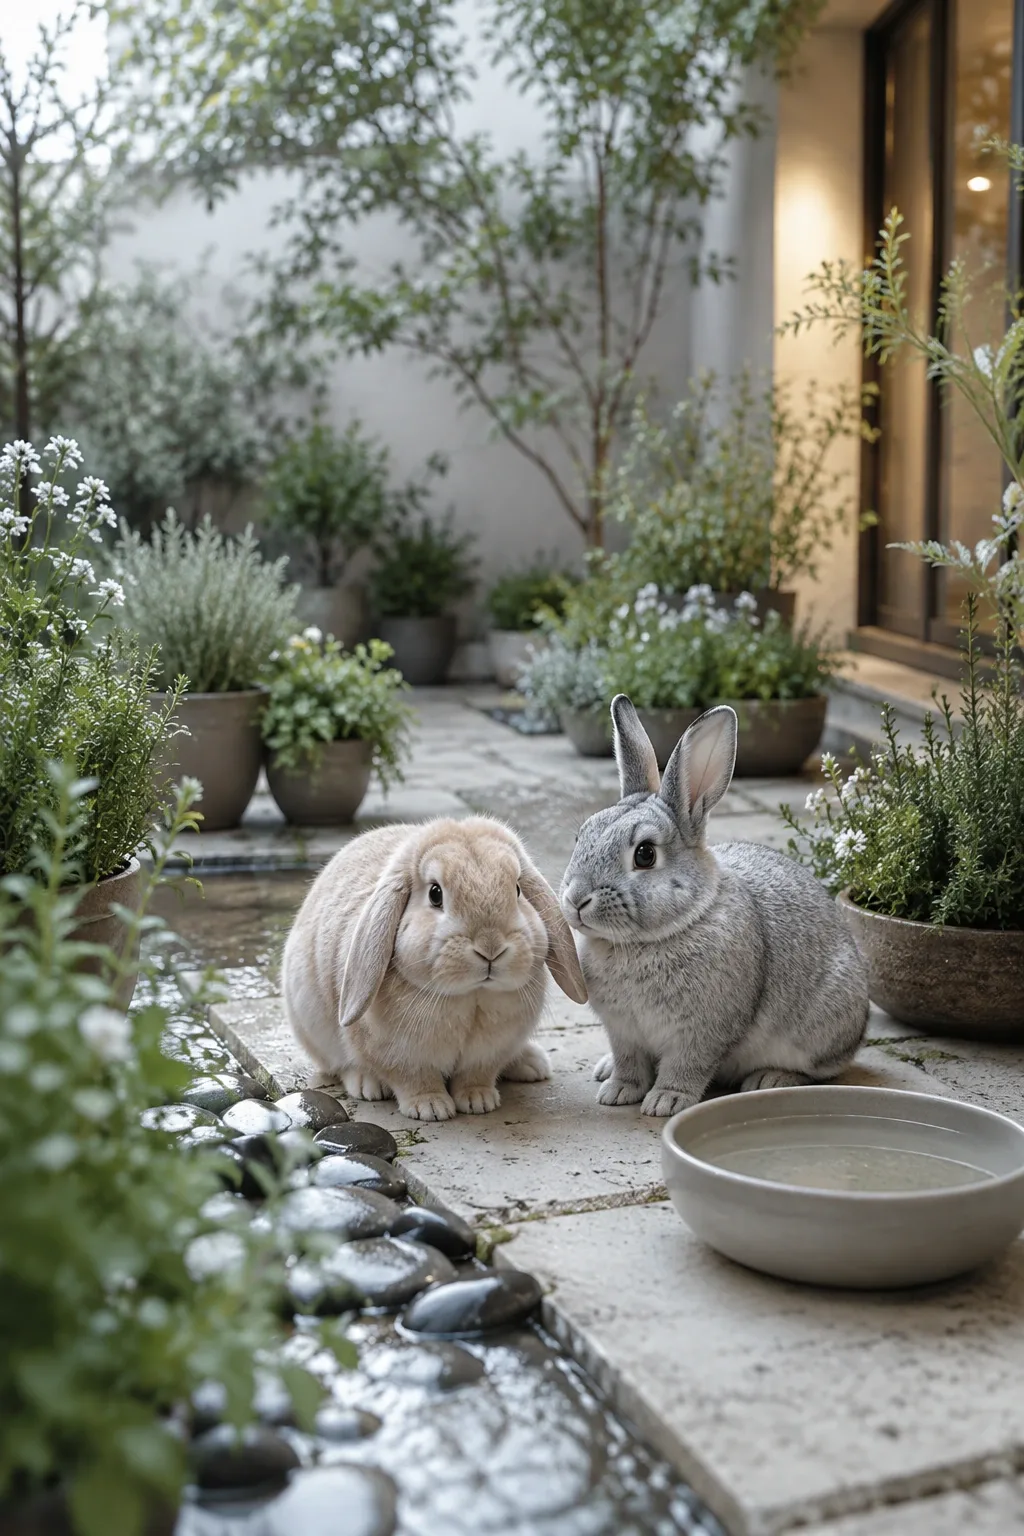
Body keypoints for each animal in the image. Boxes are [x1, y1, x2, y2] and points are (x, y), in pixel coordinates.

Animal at [281, 816, 588, 1121]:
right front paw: (430, 1108)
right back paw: (367, 1085)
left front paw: (478, 1101)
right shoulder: (400, 1057)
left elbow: (476, 1076)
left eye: (518, 890)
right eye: (435, 894)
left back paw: (532, 1064)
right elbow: (414, 1080)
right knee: (341, 1066)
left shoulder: (489, 1053)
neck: (473, 997)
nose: (490, 948)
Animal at [559, 695, 868, 1118]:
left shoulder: (702, 1031)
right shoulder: (623, 1031)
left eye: (645, 854)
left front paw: (665, 1101)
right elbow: (628, 1062)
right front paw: (618, 1091)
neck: (649, 940)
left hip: (819, 1031)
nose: (576, 899)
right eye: (581, 835)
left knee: (821, 1070)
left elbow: (686, 1065)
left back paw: (769, 1079)